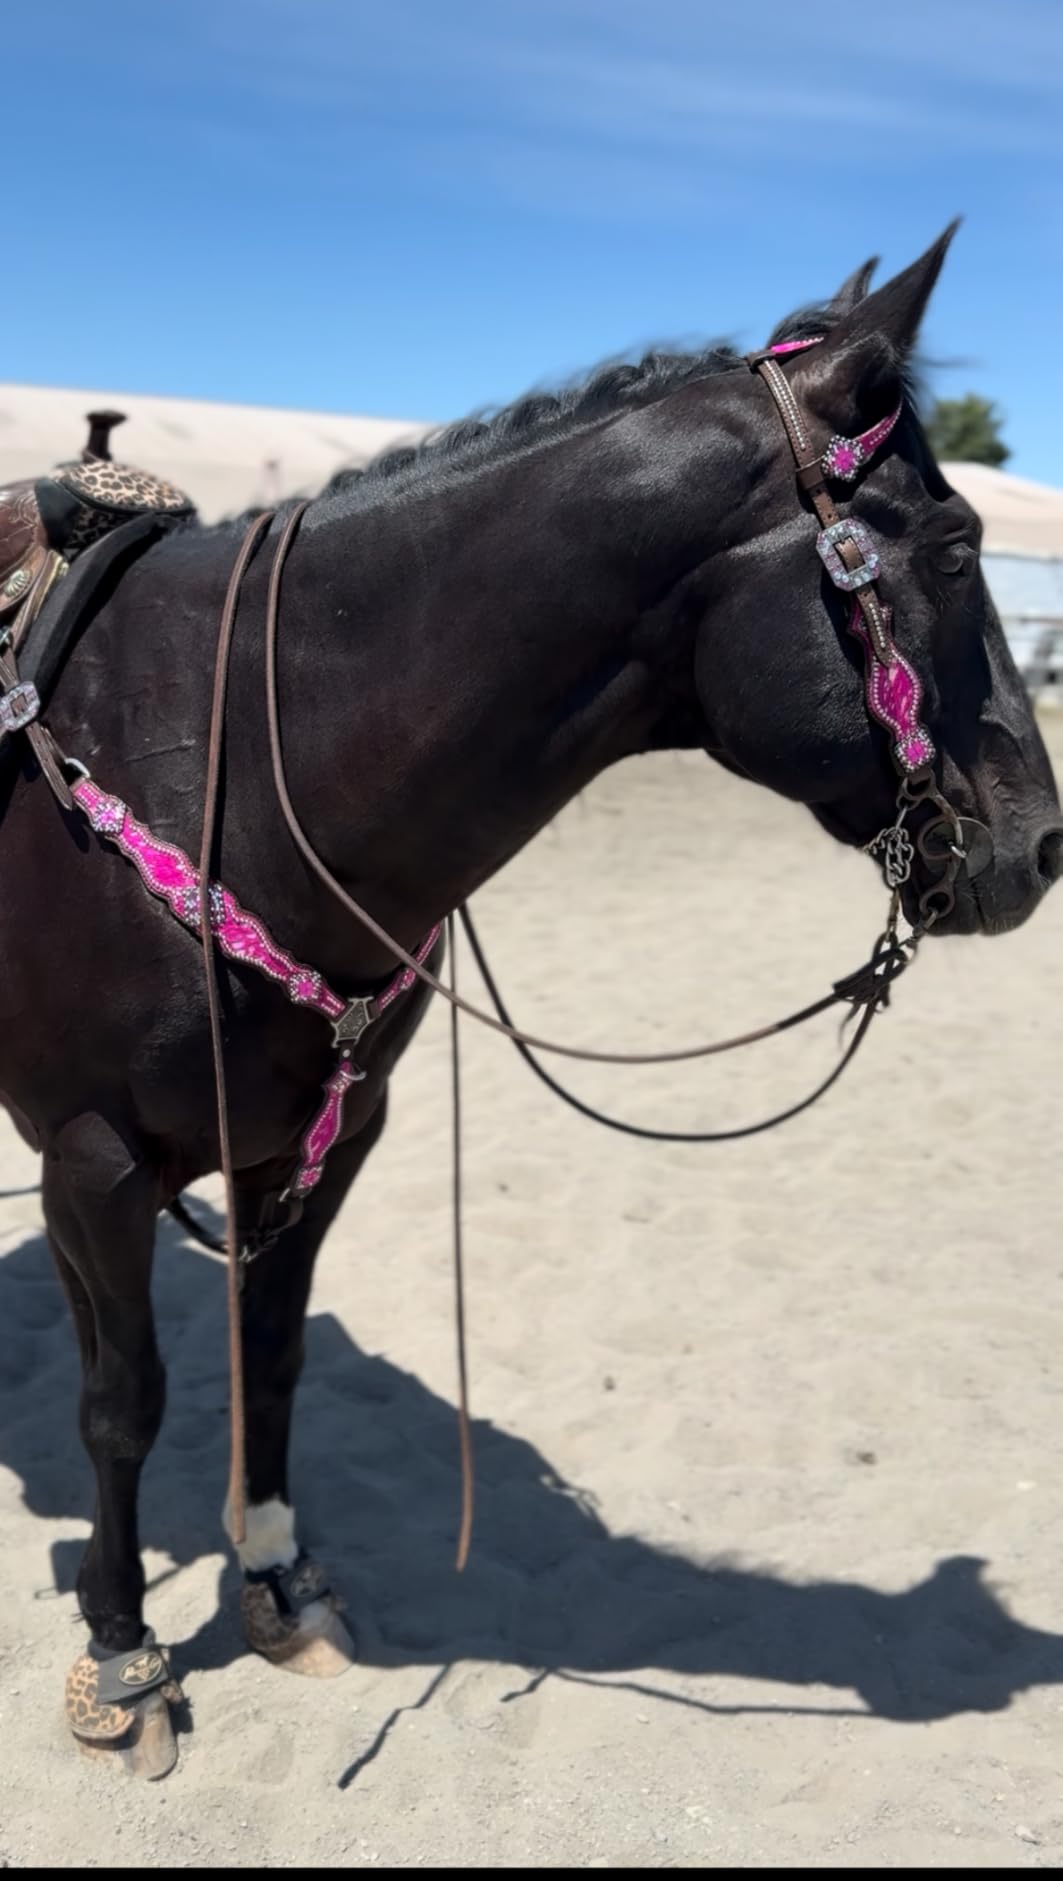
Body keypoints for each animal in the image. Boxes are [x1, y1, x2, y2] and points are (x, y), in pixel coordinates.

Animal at [0, 225, 1060, 1776]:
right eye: (957, 546)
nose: (1037, 847)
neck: (220, 748)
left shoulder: (319, 1140)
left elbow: (271, 1356)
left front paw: (278, 1582)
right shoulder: (94, 1160)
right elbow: (121, 1405)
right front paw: (124, 1657)